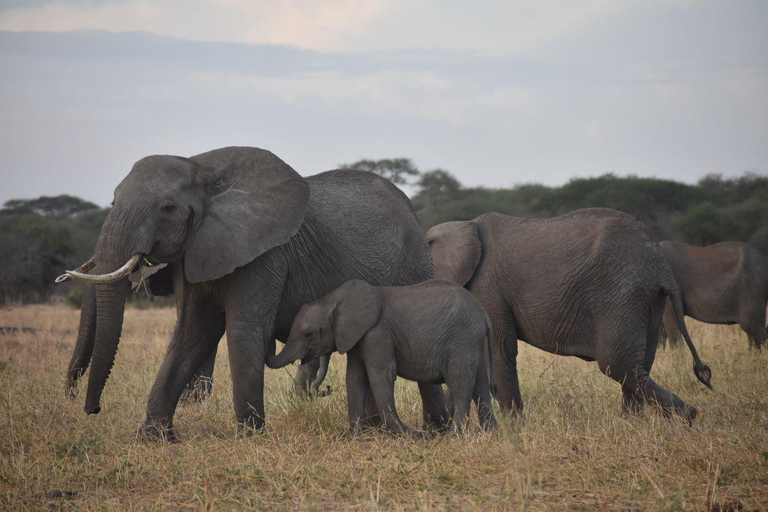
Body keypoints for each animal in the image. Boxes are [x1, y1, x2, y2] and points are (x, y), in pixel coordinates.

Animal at [58, 145, 450, 440]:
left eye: (167, 208)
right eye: (112, 200)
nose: (91, 409)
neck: (203, 169)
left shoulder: (265, 256)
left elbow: (243, 332)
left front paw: (250, 437)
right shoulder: (194, 251)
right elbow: (190, 335)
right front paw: (154, 439)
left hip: (413, 269)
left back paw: (436, 432)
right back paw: (375, 432)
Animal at [266, 280, 498, 436]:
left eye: (309, 334)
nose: (326, 389)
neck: (333, 300)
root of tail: (484, 315)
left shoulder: (377, 334)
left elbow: (380, 377)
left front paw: (407, 436)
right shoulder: (358, 339)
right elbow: (355, 379)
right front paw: (354, 438)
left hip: (462, 340)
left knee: (460, 384)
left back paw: (454, 436)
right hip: (473, 342)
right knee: (480, 386)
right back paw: (490, 434)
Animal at [424, 206, 712, 422]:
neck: (464, 225)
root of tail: (661, 264)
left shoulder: (487, 286)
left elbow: (499, 349)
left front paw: (514, 429)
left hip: (622, 293)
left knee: (617, 364)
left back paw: (685, 416)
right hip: (649, 300)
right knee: (638, 364)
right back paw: (636, 422)